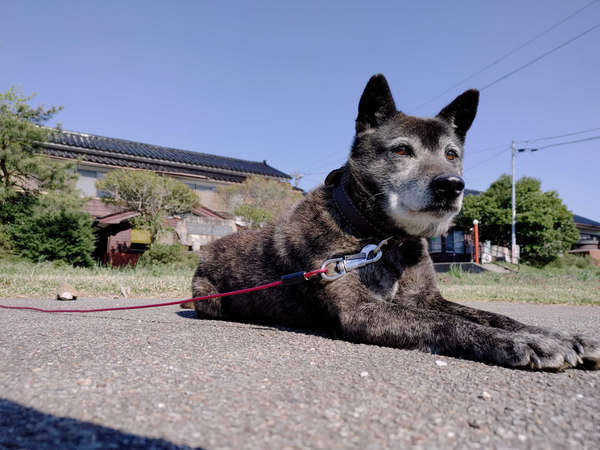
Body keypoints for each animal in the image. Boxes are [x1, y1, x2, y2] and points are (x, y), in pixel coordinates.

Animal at [185, 73, 596, 370]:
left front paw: (555, 334)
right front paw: (528, 343)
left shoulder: (428, 298)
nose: (451, 185)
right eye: (401, 150)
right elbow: (452, 324)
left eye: (451, 154)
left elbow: (491, 315)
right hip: (209, 299)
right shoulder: (364, 310)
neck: (383, 239)